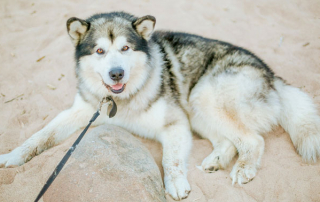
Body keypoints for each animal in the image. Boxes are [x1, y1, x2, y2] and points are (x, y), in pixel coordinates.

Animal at [0, 12, 320, 200]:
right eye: (100, 51)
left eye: (125, 48)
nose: (116, 73)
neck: (122, 99)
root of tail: (272, 75)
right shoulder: (81, 111)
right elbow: (41, 135)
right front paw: (13, 156)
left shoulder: (176, 122)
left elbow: (171, 159)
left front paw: (175, 183)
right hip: (199, 111)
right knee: (229, 141)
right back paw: (216, 160)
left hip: (203, 96)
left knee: (252, 140)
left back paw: (243, 169)